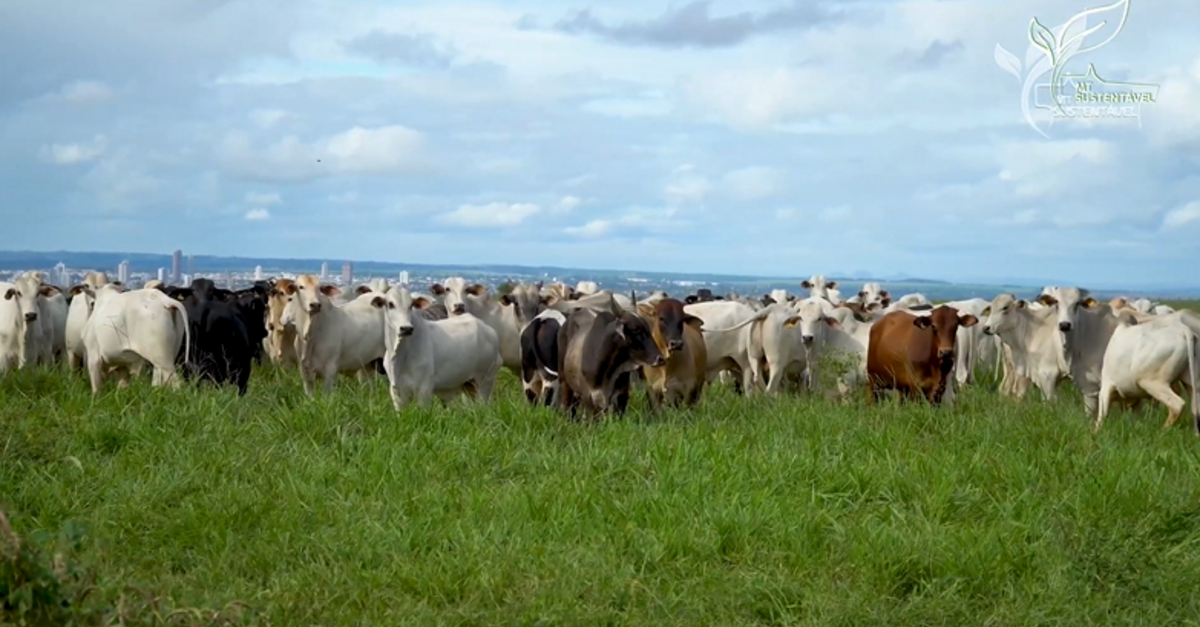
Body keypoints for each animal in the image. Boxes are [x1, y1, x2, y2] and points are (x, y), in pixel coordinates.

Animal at [367, 284, 499, 410]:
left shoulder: (424, 389)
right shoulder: (397, 391)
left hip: (485, 382)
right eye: (390, 304)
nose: (406, 328)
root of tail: (489, 330)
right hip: (468, 385)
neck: (399, 356)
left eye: (411, 305)